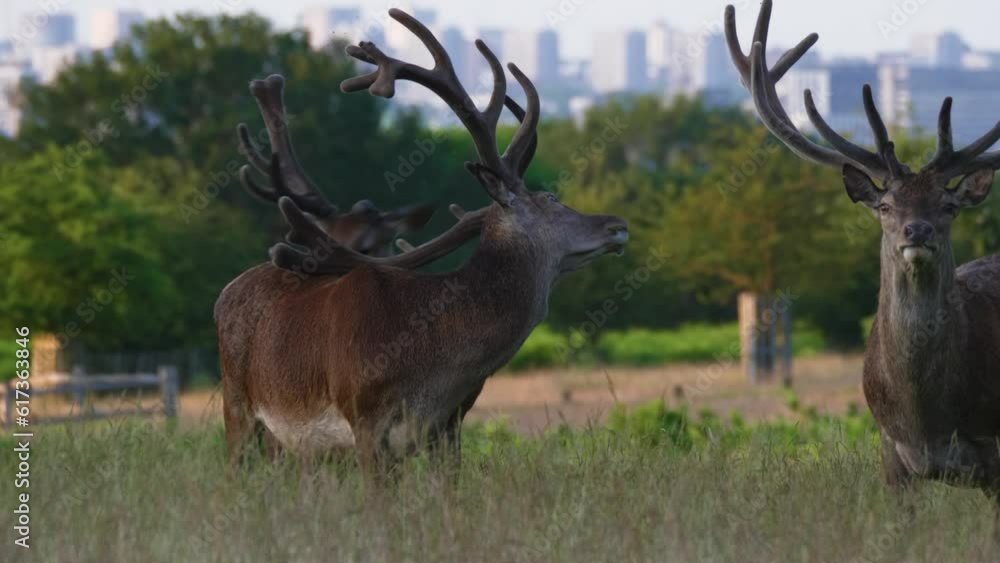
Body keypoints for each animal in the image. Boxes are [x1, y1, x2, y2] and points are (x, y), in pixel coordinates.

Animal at [726, 0, 1000, 516]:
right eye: (886, 206)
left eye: (948, 205)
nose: (917, 230)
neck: (926, 420)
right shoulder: (890, 455)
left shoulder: (995, 448)